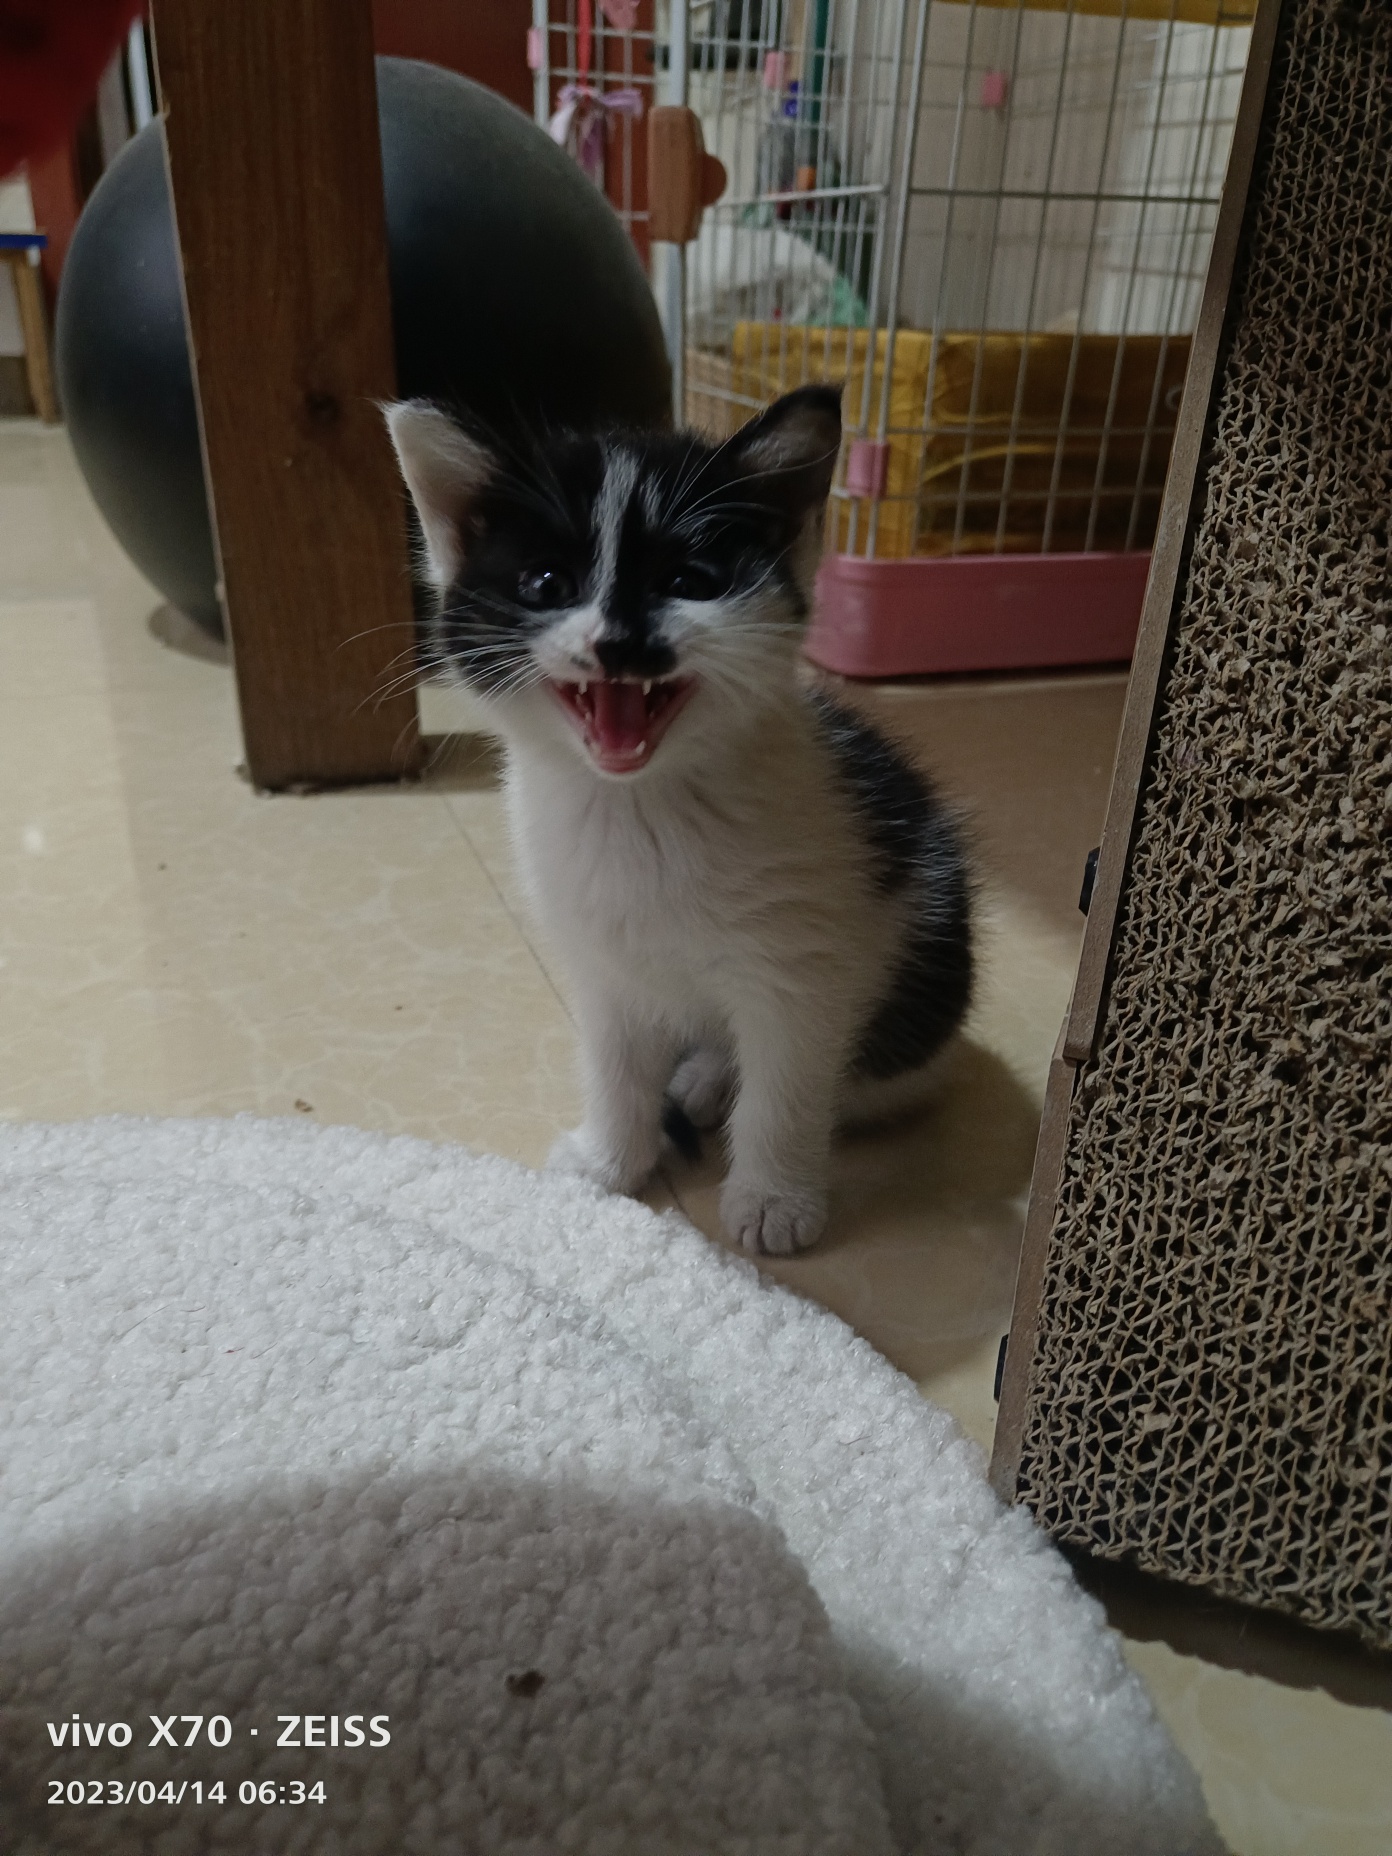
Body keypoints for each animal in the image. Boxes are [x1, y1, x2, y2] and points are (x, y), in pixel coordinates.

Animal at [385, 385, 972, 1255]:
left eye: (690, 579)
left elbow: (787, 1082)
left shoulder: (805, 966)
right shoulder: (601, 959)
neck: (640, 809)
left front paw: (772, 1199)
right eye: (546, 583)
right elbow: (614, 1061)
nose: (620, 642)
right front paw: (610, 1160)